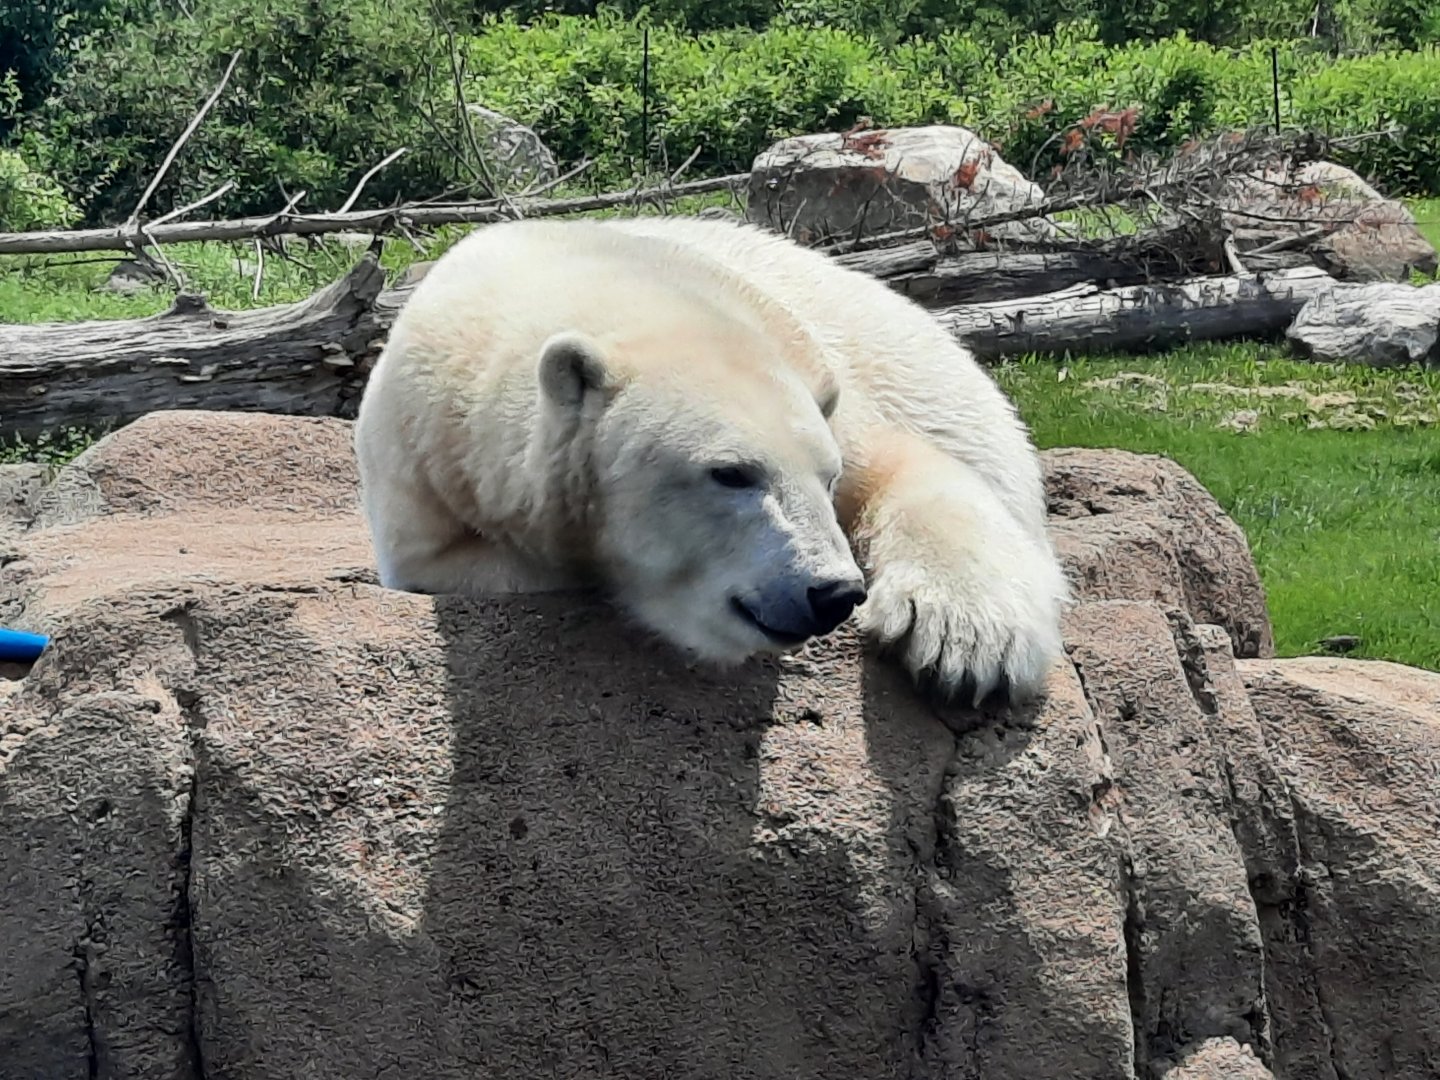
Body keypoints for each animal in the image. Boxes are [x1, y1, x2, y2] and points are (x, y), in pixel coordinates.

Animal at [352, 214, 1071, 706]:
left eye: (827, 476)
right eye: (731, 474)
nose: (832, 593)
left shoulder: (825, 383)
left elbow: (908, 468)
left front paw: (967, 644)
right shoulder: (425, 463)